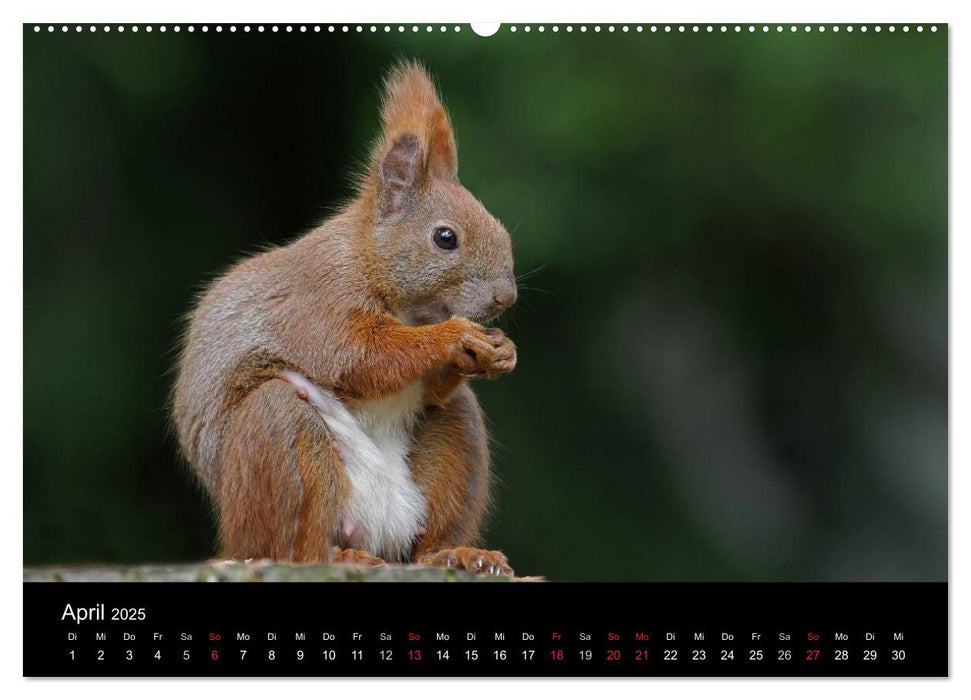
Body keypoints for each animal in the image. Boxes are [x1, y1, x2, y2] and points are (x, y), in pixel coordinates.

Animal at [175, 61, 524, 576]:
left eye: (500, 227)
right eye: (445, 238)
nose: (506, 296)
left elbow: (426, 385)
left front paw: (501, 350)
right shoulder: (321, 301)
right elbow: (360, 356)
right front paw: (456, 335)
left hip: (455, 443)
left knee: (432, 522)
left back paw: (459, 553)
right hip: (278, 442)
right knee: (295, 546)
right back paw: (341, 555)